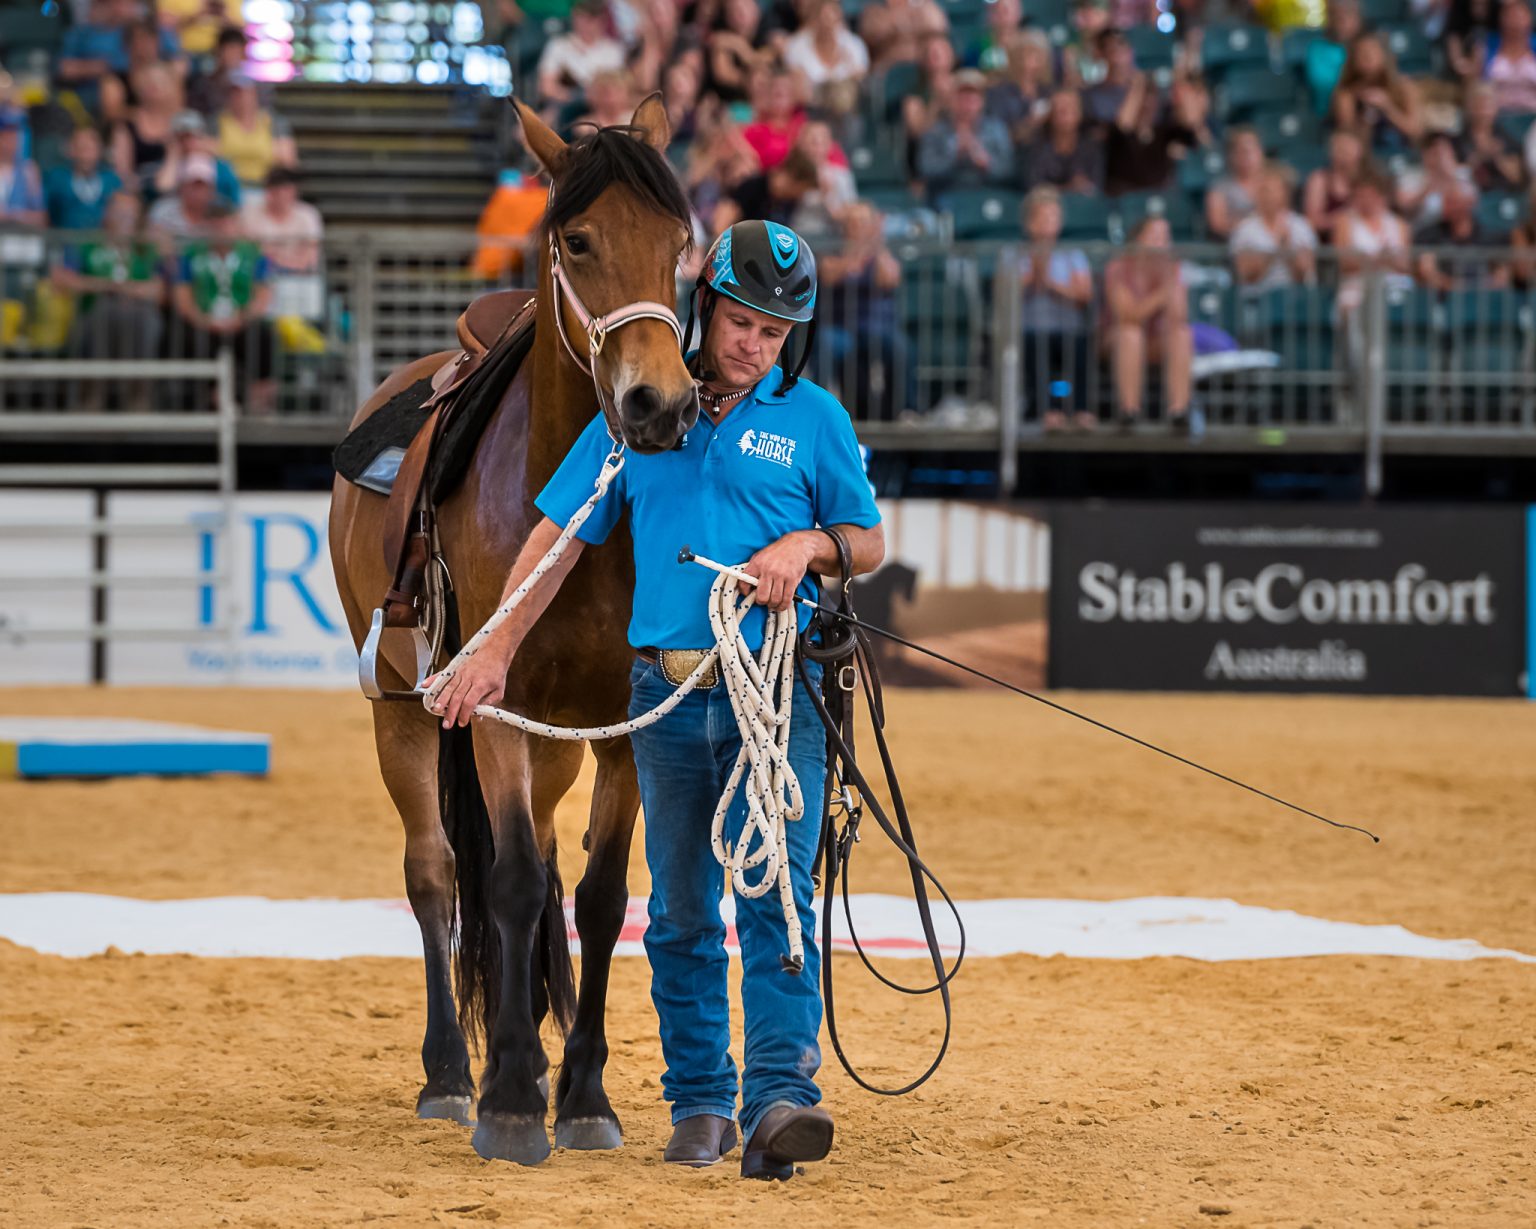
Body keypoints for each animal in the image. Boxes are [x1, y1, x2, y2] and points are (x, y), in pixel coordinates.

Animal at [336, 98, 703, 1161]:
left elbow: (598, 895)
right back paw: (451, 1074)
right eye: (577, 240)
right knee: (437, 871)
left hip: (558, 746)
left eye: (680, 244)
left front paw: (580, 1093)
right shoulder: (490, 708)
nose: (659, 405)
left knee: (541, 868)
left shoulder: (623, 725)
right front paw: (505, 1096)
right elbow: (501, 883)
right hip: (404, 712)